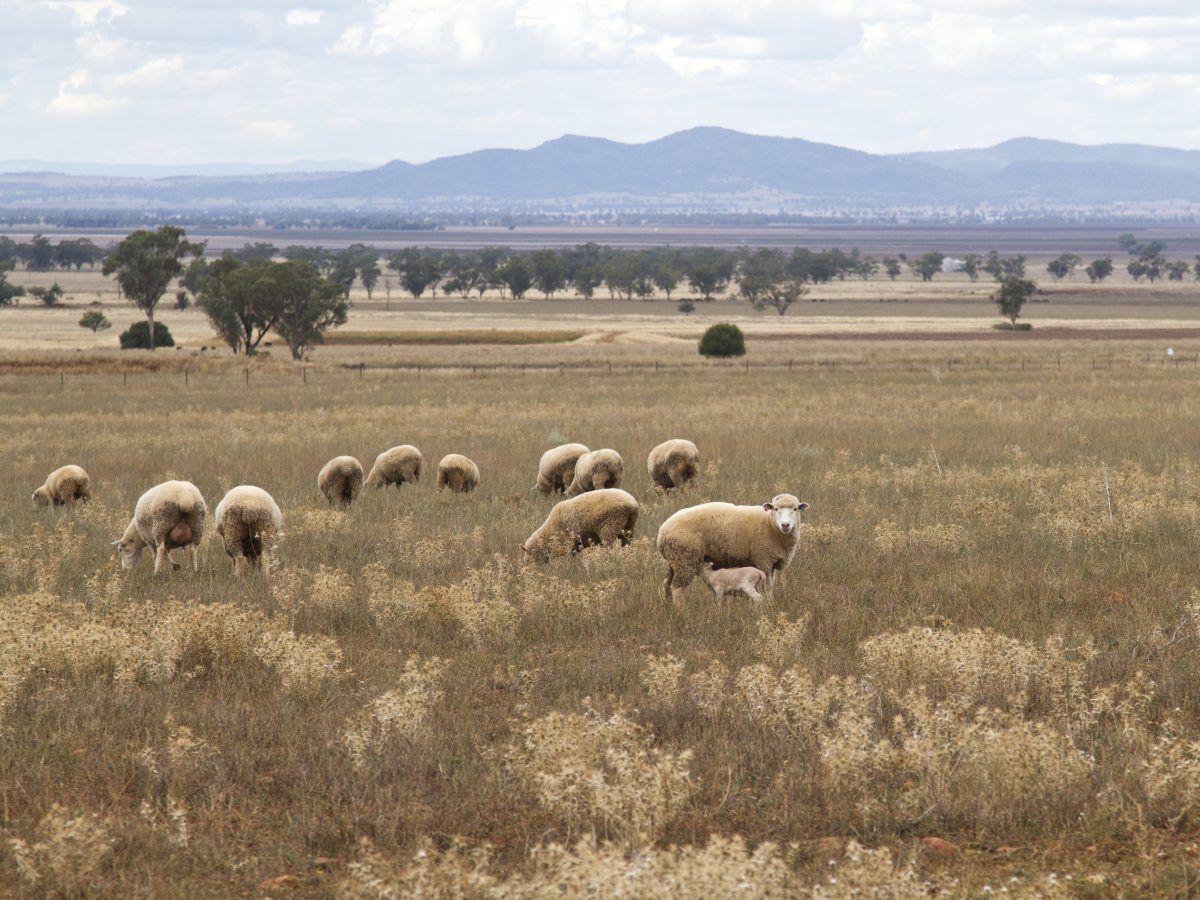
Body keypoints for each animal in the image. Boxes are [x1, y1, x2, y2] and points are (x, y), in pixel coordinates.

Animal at [652, 494, 811, 607]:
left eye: (795, 509)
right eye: (776, 509)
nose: (785, 525)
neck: (771, 525)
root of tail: (662, 532)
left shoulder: (771, 564)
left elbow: (770, 587)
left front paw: (770, 603)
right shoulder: (763, 561)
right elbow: (767, 587)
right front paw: (770, 605)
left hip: (674, 560)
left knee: (666, 584)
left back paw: (667, 606)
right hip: (685, 557)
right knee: (678, 588)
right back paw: (682, 611)